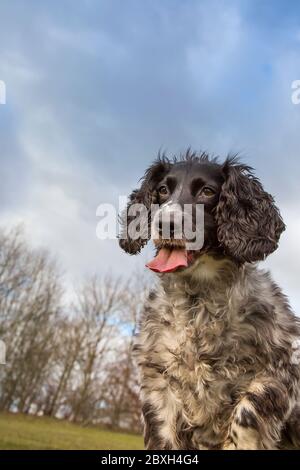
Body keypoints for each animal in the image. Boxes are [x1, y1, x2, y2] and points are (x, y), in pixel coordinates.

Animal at [119, 151, 300, 452]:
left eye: (207, 191)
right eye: (163, 190)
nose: (165, 224)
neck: (199, 305)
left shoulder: (284, 371)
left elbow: (248, 410)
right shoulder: (159, 384)